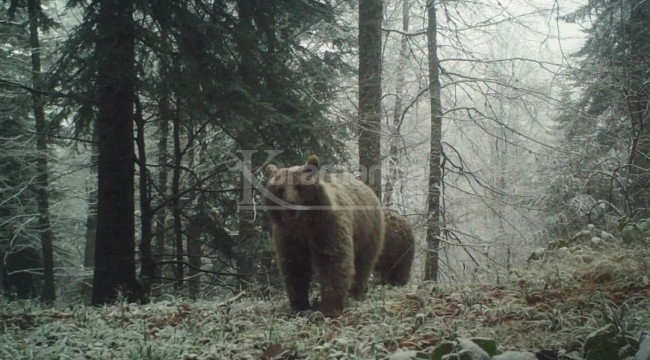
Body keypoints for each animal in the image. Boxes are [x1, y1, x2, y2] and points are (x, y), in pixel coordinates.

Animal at [262, 155, 384, 318]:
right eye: (280, 189)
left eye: (299, 186)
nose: (290, 206)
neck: (303, 225)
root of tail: (367, 188)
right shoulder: (289, 236)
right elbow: (295, 267)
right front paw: (300, 306)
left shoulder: (325, 227)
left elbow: (332, 261)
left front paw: (328, 309)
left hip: (367, 231)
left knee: (363, 264)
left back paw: (356, 293)